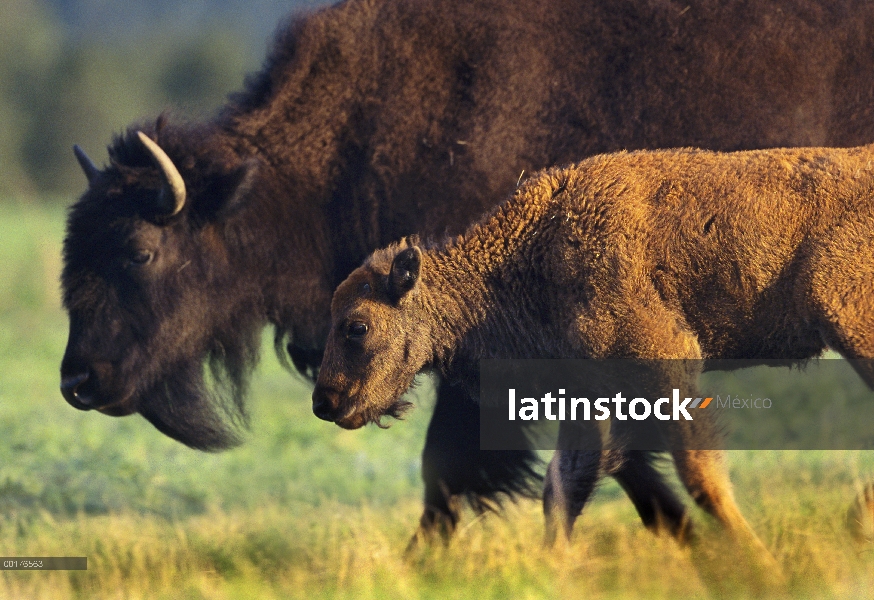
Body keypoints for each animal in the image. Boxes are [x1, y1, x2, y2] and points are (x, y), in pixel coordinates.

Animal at [316, 144, 872, 564]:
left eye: (356, 326)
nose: (325, 402)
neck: (531, 252)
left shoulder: (664, 363)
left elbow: (699, 473)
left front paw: (765, 569)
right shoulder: (589, 397)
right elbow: (561, 489)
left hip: (847, 321)